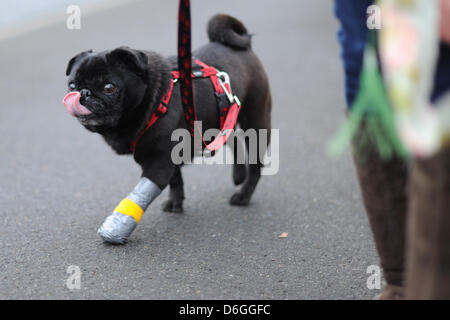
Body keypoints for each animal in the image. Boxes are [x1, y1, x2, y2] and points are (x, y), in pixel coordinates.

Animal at [64, 13, 270, 242]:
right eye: (72, 86)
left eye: (109, 87)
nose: (83, 93)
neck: (154, 102)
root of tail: (242, 47)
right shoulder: (169, 158)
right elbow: (176, 180)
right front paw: (176, 204)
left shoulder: (159, 164)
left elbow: (146, 189)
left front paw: (118, 226)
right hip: (219, 121)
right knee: (231, 138)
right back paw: (238, 175)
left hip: (256, 123)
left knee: (255, 165)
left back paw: (243, 196)